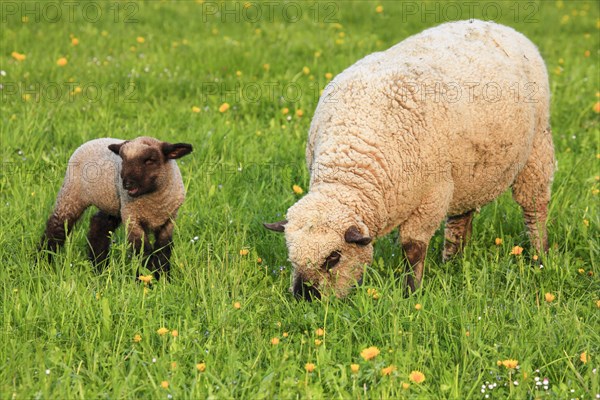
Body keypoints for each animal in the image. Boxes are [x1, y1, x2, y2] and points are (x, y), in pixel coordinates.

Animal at [39, 135, 192, 278]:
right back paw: (42, 261)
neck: (154, 201)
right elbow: (143, 250)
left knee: (98, 225)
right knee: (57, 226)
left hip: (113, 205)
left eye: (150, 160)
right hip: (72, 194)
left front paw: (164, 277)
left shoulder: (169, 221)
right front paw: (146, 279)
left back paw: (99, 266)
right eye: (123, 159)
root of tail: (93, 140)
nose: (127, 183)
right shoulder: (132, 218)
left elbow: (163, 250)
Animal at [264, 19, 556, 300]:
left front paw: (411, 293)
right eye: (291, 258)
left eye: (333, 258)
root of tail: (499, 26)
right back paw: (452, 261)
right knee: (460, 218)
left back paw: (539, 257)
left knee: (534, 207)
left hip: (537, 149)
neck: (350, 166)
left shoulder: (431, 197)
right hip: (466, 173)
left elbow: (412, 248)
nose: (305, 298)